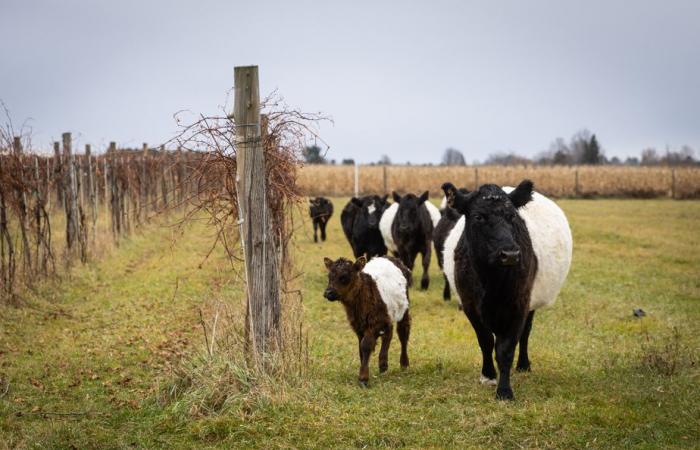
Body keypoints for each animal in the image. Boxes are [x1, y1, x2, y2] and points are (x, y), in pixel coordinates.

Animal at [442, 181, 576, 400]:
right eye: (478, 216)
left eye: (512, 216)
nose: (510, 254)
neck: (491, 281)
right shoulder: (469, 305)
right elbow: (486, 341)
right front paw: (488, 375)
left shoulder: (518, 304)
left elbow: (506, 349)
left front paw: (504, 391)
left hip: (531, 300)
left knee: (526, 332)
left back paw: (523, 364)